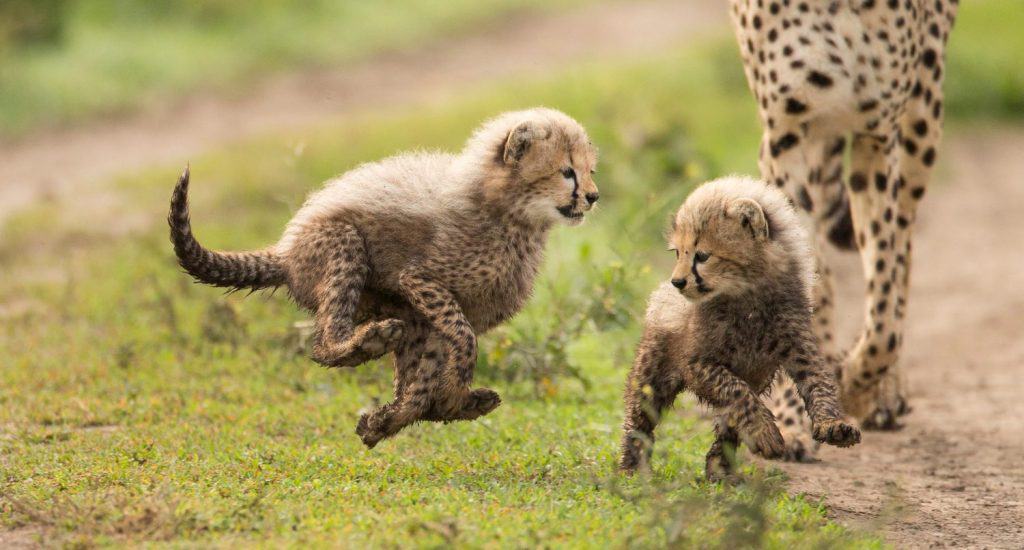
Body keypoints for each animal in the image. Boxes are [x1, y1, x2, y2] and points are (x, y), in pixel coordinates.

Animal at [168, 108, 600, 448]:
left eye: (589, 171)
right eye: (567, 172)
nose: (593, 196)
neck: (510, 215)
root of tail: (287, 252)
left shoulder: (427, 316)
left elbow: (425, 381)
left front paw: (402, 416)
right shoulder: (420, 279)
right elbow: (463, 337)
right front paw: (451, 394)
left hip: (397, 310)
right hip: (343, 245)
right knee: (322, 344)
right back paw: (368, 341)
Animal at [618, 176, 860, 481]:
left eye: (702, 255)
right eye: (678, 253)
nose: (678, 282)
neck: (747, 295)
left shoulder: (799, 348)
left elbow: (819, 384)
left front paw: (834, 425)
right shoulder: (699, 364)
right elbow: (737, 392)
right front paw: (767, 432)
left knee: (728, 426)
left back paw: (720, 470)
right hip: (653, 373)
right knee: (640, 418)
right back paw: (632, 466)